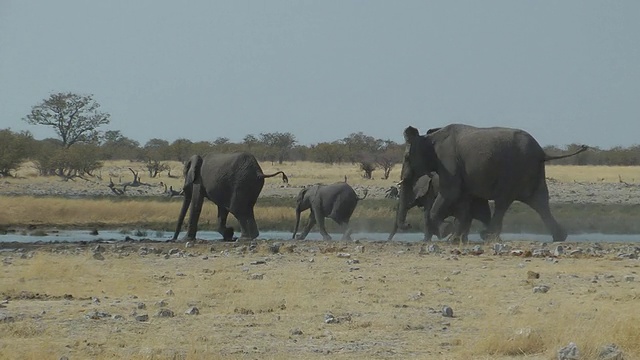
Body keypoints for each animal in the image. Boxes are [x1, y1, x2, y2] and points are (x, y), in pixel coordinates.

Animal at [398, 124, 588, 242]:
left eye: (406, 157)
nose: (407, 225)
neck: (429, 138)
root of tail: (542, 152)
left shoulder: (448, 163)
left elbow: (450, 193)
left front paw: (446, 233)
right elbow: (463, 200)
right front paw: (453, 239)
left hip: (515, 170)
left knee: (504, 201)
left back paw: (486, 235)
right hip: (531, 171)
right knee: (539, 201)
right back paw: (560, 237)